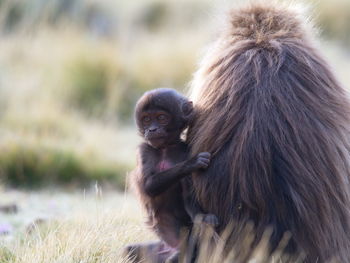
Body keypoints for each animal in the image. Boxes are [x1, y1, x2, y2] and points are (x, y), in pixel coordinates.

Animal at [126, 89, 219, 263]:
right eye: (146, 119)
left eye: (161, 118)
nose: (152, 130)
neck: (165, 148)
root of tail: (168, 246)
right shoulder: (144, 150)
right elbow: (148, 186)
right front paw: (192, 163)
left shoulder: (185, 149)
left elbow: (188, 196)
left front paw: (204, 218)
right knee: (129, 250)